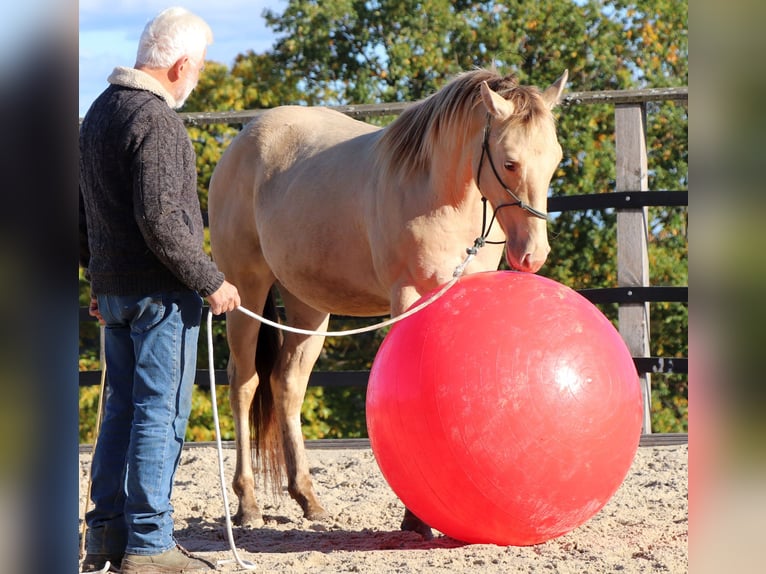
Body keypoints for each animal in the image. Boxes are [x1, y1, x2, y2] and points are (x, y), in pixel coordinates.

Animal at [208, 68, 568, 538]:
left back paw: (308, 499)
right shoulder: (407, 295)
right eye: (510, 162)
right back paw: (247, 503)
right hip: (244, 291)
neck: (437, 192)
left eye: (556, 160)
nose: (533, 255)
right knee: (245, 384)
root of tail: (241, 144)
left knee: (287, 386)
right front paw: (415, 518)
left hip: (308, 308)